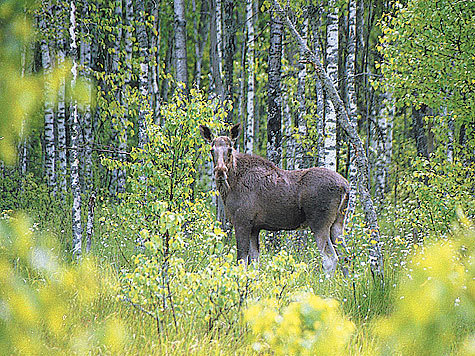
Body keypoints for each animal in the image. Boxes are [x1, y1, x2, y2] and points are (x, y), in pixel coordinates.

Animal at [199, 124, 352, 276]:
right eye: (212, 149)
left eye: (230, 149)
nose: (220, 171)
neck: (230, 186)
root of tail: (345, 186)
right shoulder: (255, 227)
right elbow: (254, 263)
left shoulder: (242, 221)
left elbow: (241, 261)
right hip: (337, 223)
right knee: (346, 257)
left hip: (319, 223)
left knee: (330, 258)